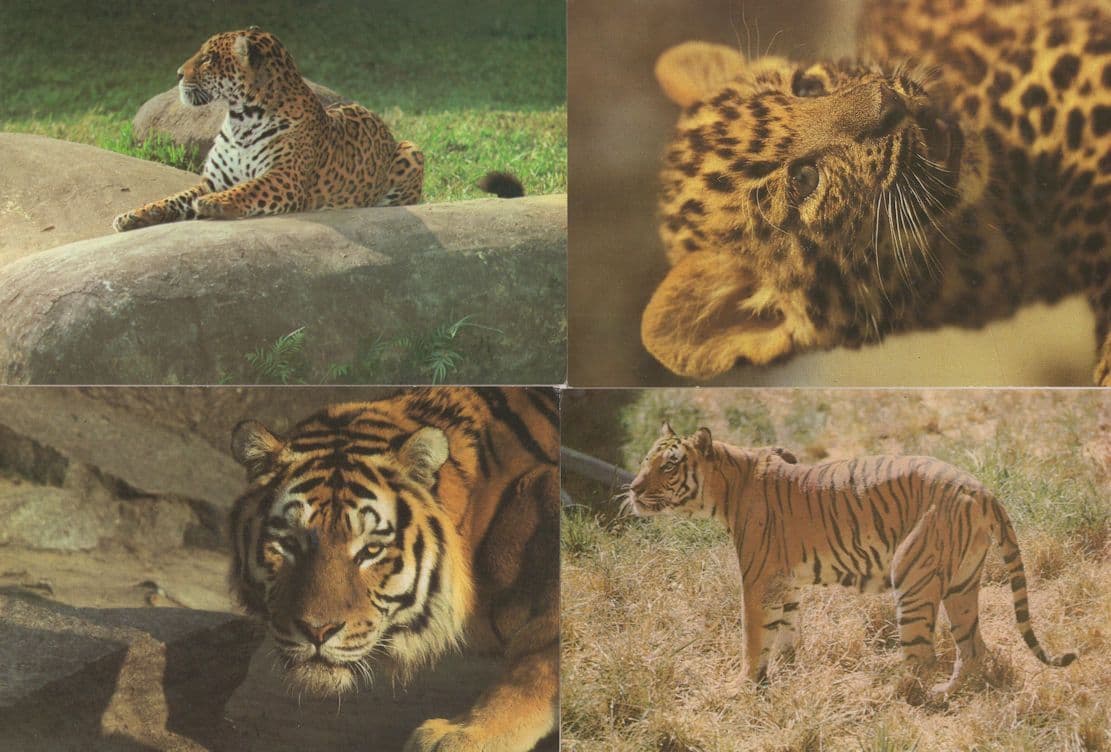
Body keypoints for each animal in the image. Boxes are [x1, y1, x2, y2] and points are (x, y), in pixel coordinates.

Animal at [624, 422, 1077, 698]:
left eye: (668, 465)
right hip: (963, 584)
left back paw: (893, 693)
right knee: (973, 648)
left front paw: (742, 686)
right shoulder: (785, 581)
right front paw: (787, 671)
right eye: (646, 460)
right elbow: (787, 630)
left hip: (912, 575)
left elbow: (753, 638)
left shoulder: (758, 580)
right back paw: (952, 693)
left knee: (922, 657)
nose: (632, 488)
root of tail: (981, 489)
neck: (726, 490)